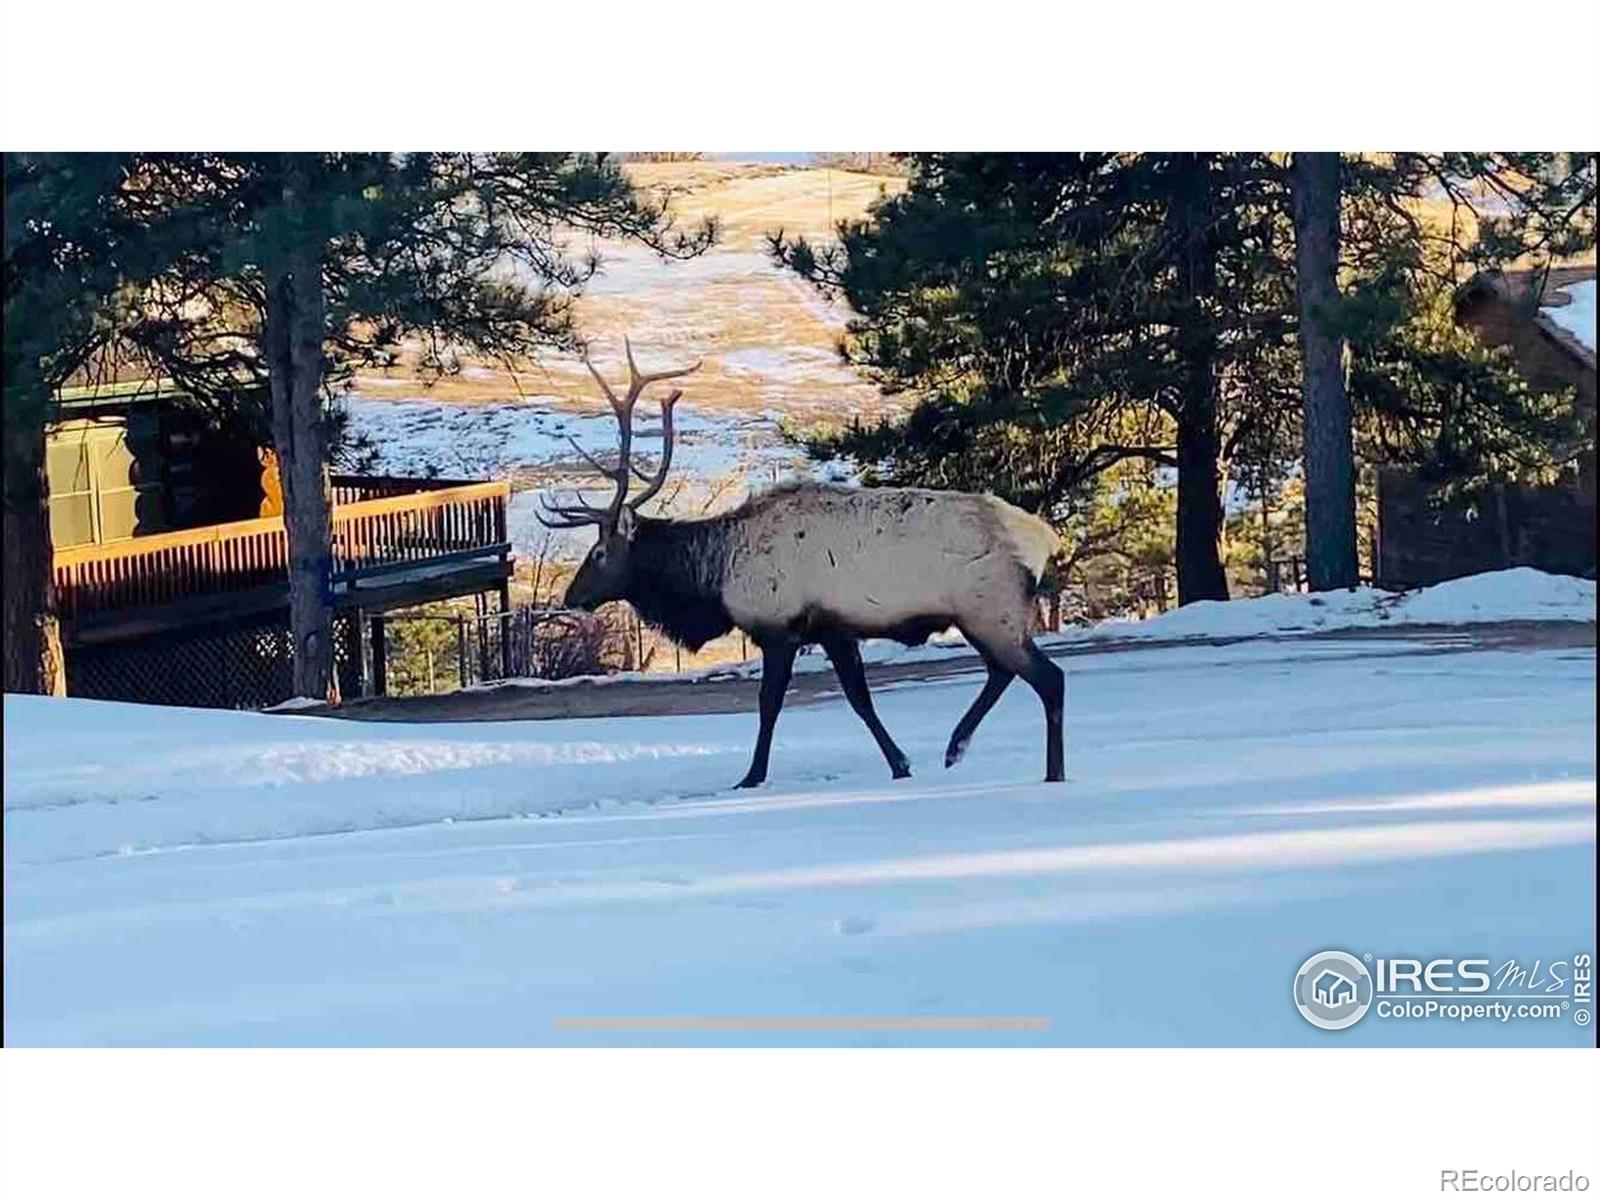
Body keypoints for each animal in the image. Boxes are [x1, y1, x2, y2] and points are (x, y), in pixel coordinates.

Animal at [544, 339, 1068, 790]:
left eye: (598, 554)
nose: (572, 597)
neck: (715, 578)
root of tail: (1043, 538)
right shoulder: (834, 629)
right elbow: (859, 698)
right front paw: (900, 764)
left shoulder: (780, 628)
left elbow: (769, 704)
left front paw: (751, 776)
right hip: (985, 616)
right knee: (1002, 672)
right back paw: (956, 747)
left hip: (990, 609)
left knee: (1048, 678)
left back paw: (1050, 772)